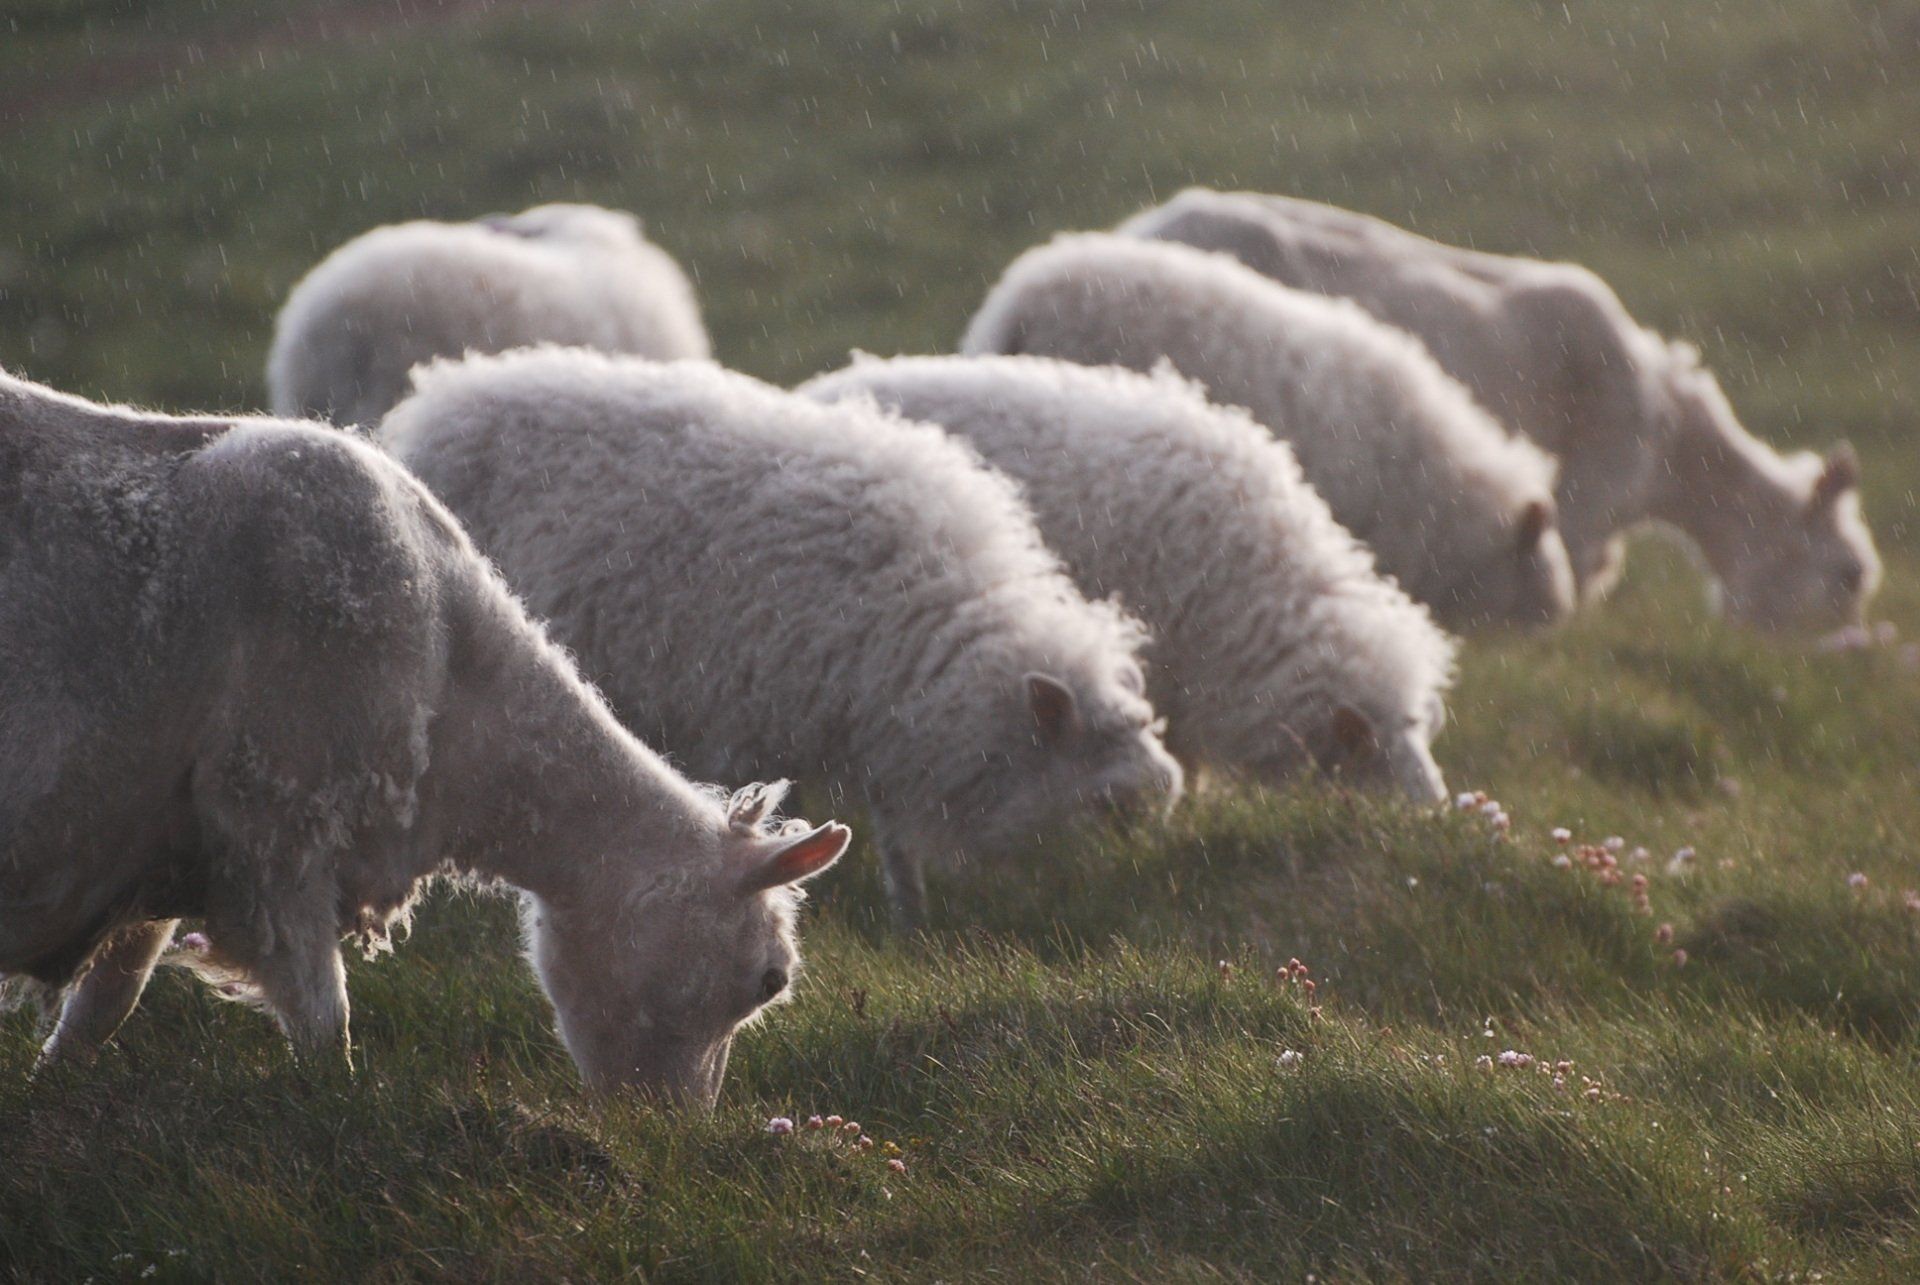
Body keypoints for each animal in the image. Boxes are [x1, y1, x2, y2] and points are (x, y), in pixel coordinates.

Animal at [0, 368, 848, 1104]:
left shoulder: (162, 848)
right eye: (769, 979)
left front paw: (50, 1092)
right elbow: (323, 1019)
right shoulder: (277, 818)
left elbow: (104, 1005)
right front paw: (337, 1105)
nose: (674, 1131)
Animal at [378, 348, 1184, 925]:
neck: (934, 616)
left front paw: (911, 913)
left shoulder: (871, 706)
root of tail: (447, 393)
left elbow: (892, 831)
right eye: (1111, 809)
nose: (1123, 900)